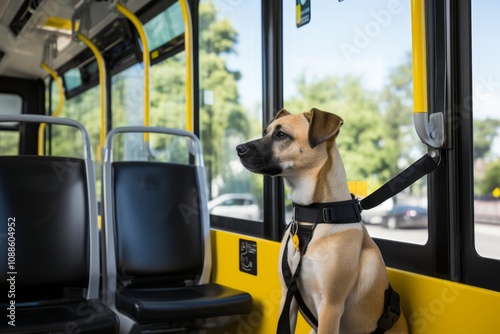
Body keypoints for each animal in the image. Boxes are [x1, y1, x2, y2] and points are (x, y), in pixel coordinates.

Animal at [236, 109, 408, 334]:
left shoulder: (330, 307)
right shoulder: (288, 297)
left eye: (281, 135)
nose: (238, 148)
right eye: (266, 132)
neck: (313, 217)